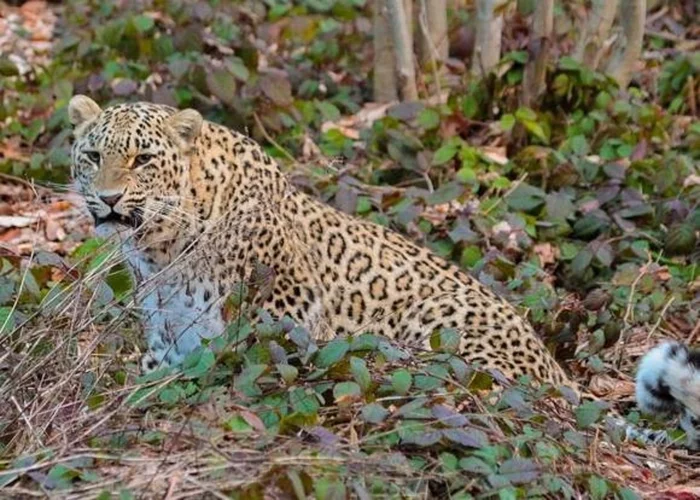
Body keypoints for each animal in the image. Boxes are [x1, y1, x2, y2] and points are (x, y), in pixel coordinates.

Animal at [67, 94, 696, 450]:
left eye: (144, 159)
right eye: (94, 156)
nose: (108, 199)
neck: (163, 246)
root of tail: (560, 378)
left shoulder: (287, 315)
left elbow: (256, 367)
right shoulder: (167, 330)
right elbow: (150, 375)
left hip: (445, 338)